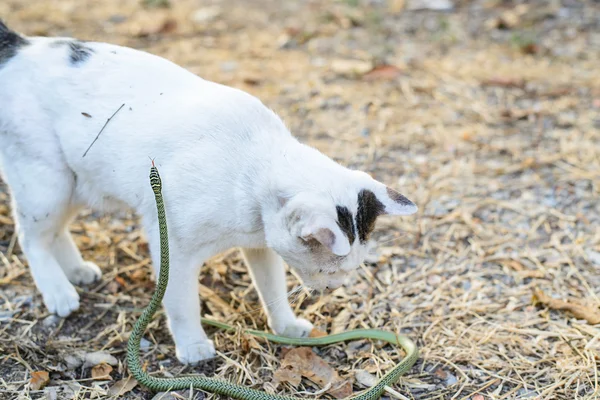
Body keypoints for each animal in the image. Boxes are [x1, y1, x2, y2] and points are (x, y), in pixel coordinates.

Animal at [0, 21, 418, 366]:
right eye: (329, 270)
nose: (333, 288)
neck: (254, 169)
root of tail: (22, 46)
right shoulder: (172, 247)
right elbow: (182, 302)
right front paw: (193, 346)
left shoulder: (261, 246)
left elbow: (273, 288)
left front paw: (284, 326)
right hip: (48, 184)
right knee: (32, 237)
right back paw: (58, 291)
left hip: (77, 185)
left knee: (56, 231)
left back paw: (76, 271)